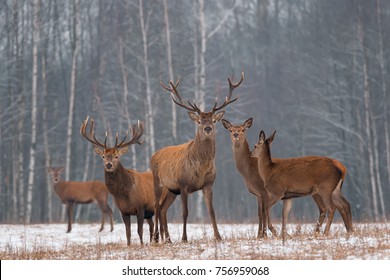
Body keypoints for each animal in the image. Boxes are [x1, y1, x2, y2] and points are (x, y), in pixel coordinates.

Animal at [152, 72, 244, 243]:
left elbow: (212, 211)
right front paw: (184, 238)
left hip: (171, 190)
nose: (207, 128)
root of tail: (154, 154)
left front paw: (218, 236)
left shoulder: (208, 184)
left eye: (213, 120)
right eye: (200, 121)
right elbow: (185, 212)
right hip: (158, 182)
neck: (201, 168)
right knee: (155, 206)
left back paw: (167, 239)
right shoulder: (183, 184)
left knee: (162, 209)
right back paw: (155, 238)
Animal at [222, 118, 350, 238]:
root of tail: (342, 168)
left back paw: (325, 232)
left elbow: (264, 210)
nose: (236, 134)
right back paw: (348, 231)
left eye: (243, 130)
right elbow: (281, 214)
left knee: (331, 207)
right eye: (231, 130)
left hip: (324, 188)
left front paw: (268, 233)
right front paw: (281, 234)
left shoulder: (271, 192)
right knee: (343, 205)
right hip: (333, 190)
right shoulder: (283, 196)